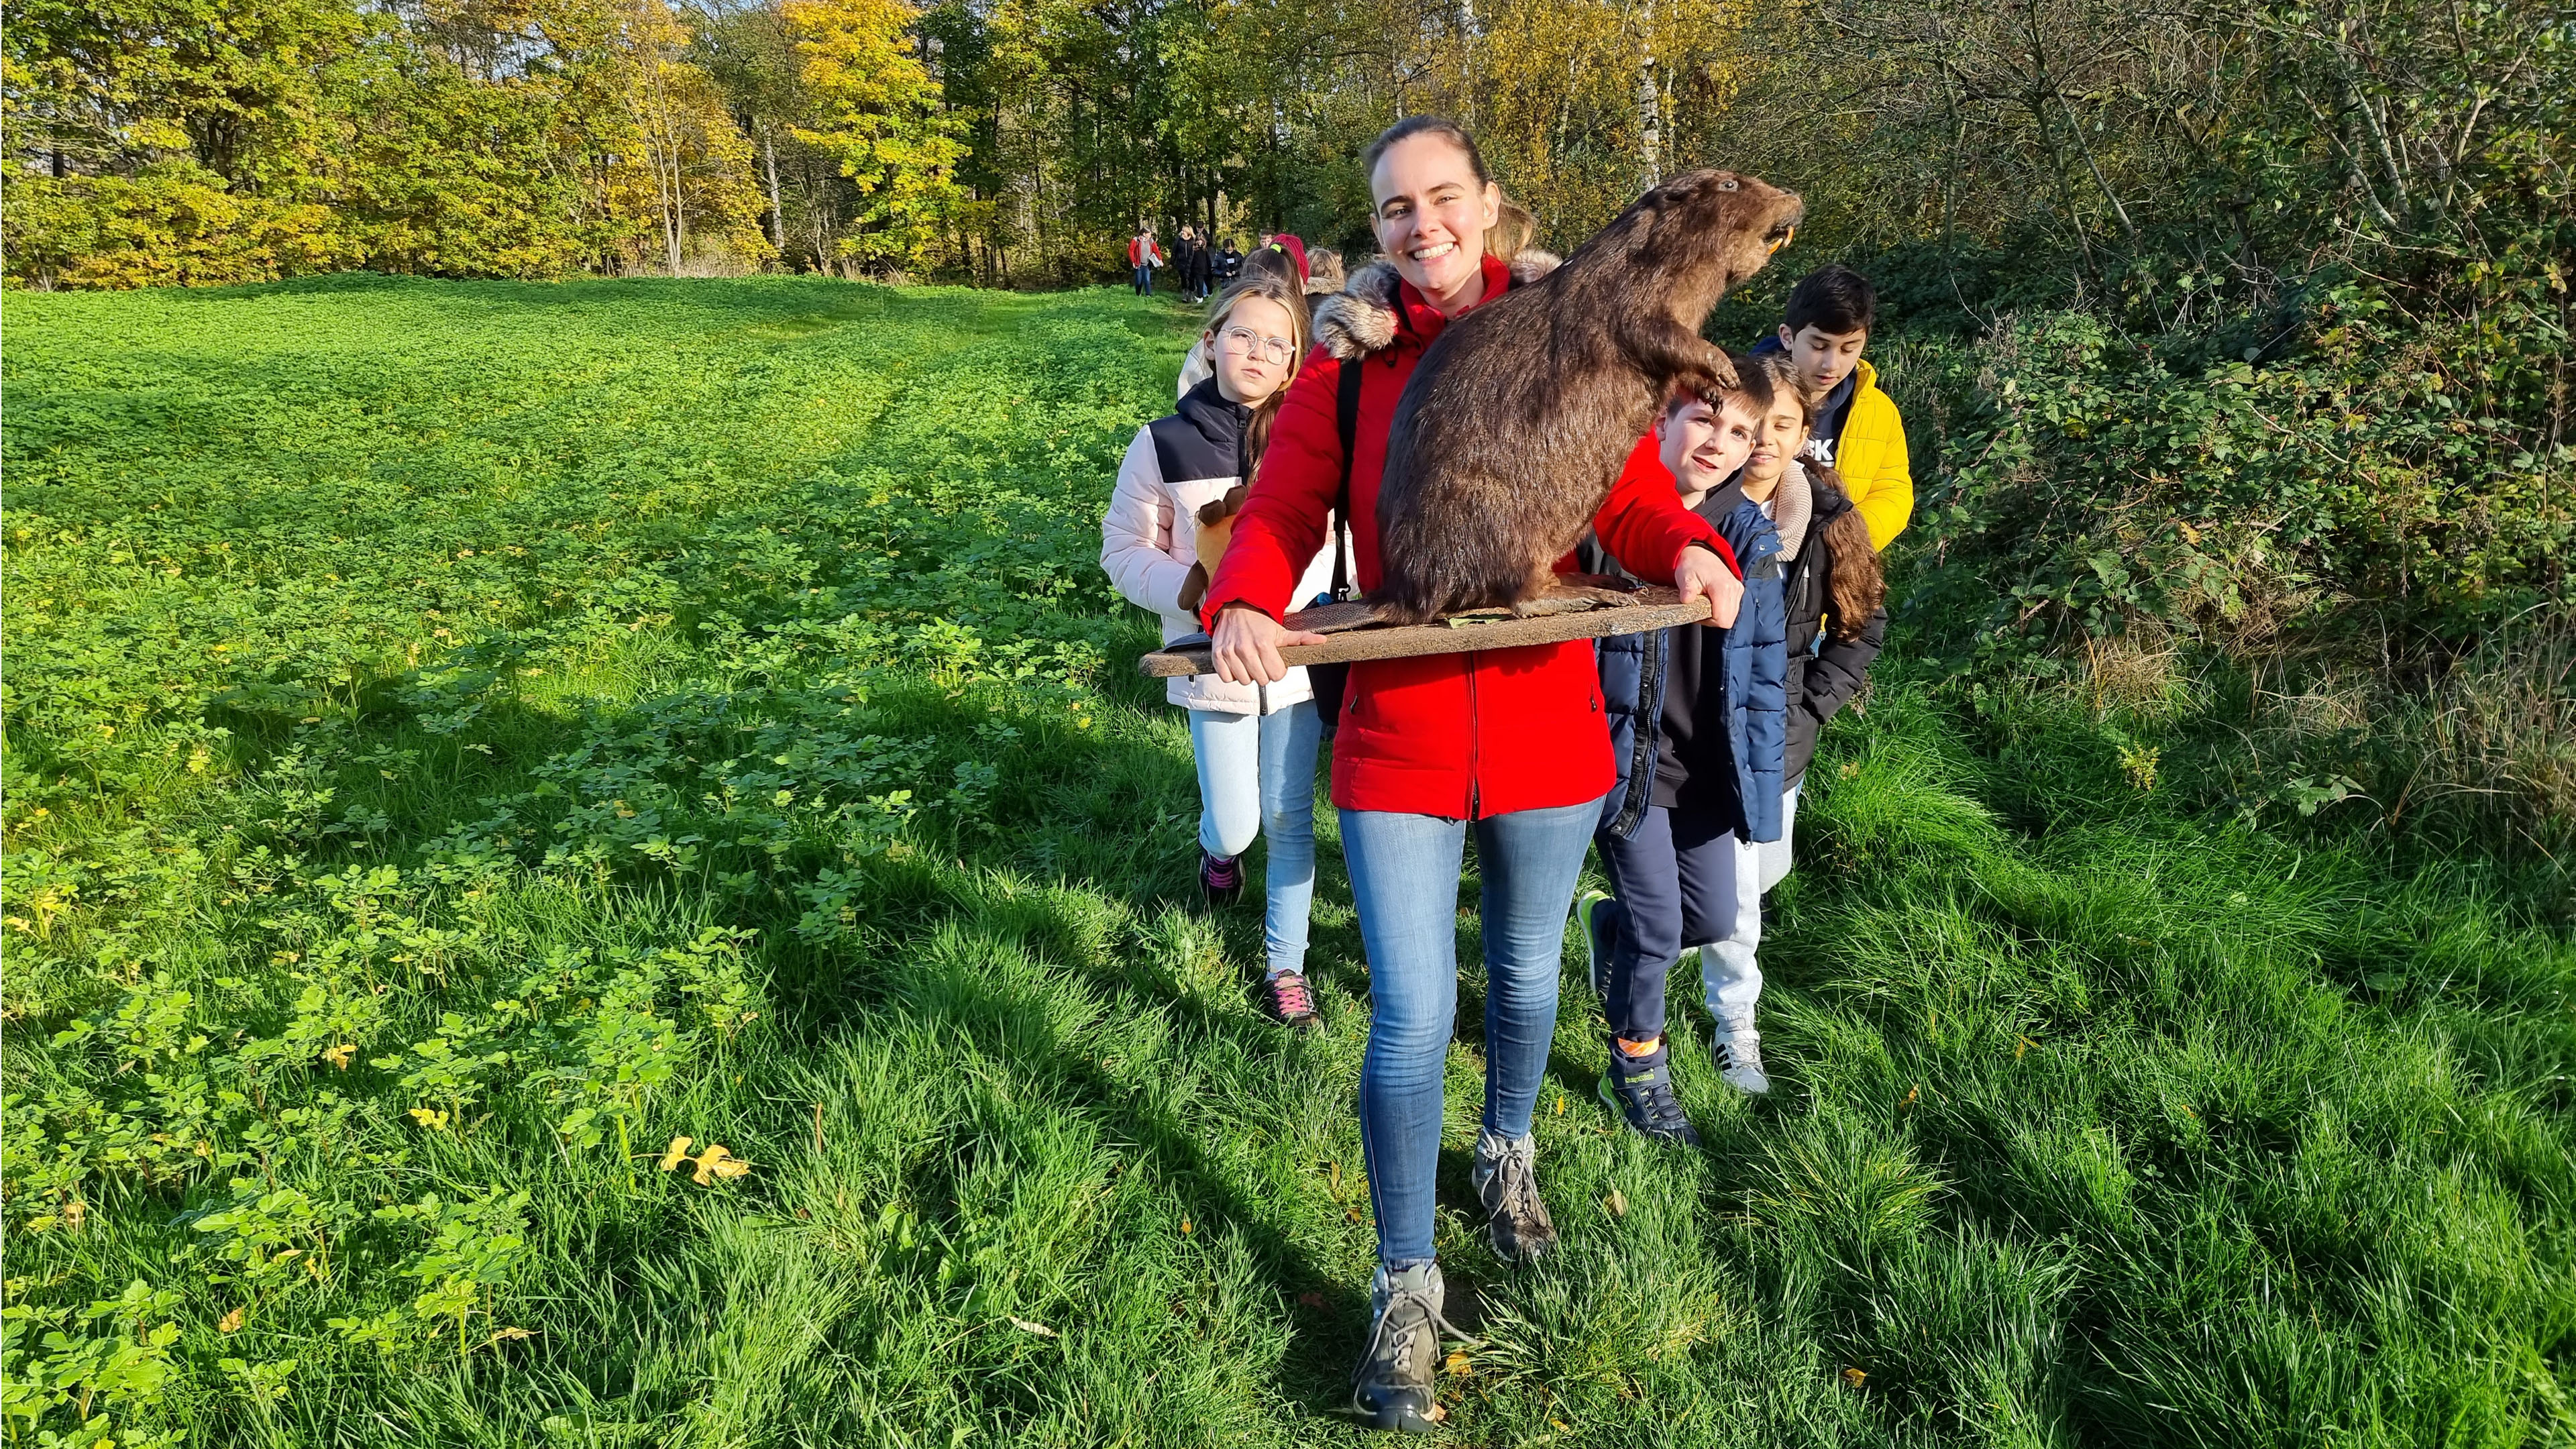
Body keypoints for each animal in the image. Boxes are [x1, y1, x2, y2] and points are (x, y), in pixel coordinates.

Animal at [1381, 168, 1803, 621]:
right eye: (1730, 185)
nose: (1794, 197)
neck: (1639, 252)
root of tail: (1400, 597)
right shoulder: (1622, 296)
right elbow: (1656, 334)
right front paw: (1724, 369)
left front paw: (1715, 390)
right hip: (1494, 520)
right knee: (1517, 596)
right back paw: (1592, 593)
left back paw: (1605, 582)